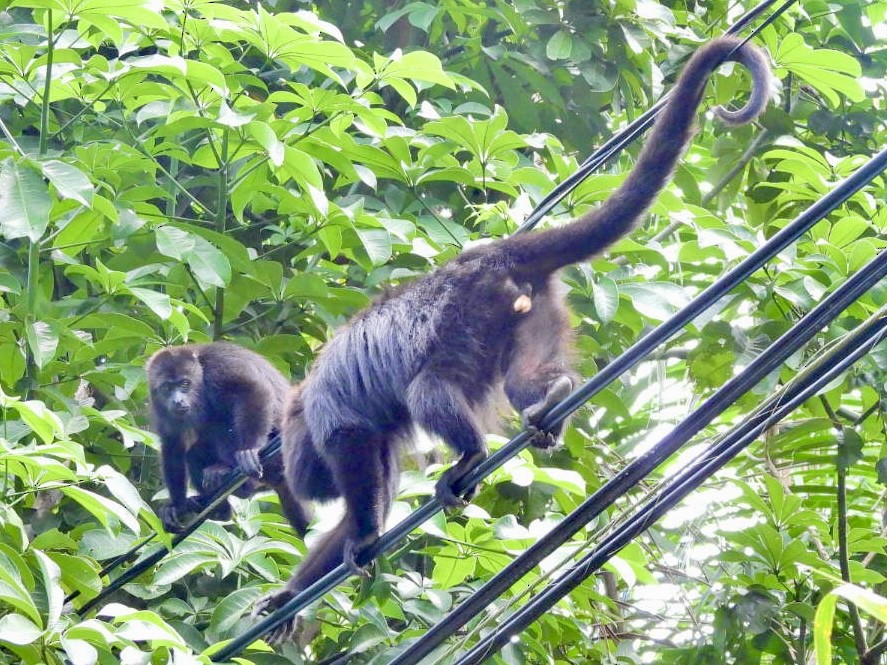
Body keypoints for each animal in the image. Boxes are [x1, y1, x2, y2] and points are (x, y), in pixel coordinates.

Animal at [145, 342, 312, 535]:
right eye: (167, 388)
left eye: (185, 384)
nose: (177, 401)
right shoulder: (157, 402)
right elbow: (172, 444)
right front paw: (176, 506)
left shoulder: (217, 366)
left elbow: (252, 389)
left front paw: (250, 449)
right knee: (193, 452)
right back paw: (218, 509)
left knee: (223, 421)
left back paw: (226, 471)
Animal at [253, 36, 771, 627]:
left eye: (296, 458)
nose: (301, 482)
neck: (302, 401)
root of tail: (491, 254)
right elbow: (377, 492)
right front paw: (290, 595)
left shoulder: (331, 413)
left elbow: (352, 448)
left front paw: (358, 539)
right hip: (532, 307)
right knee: (521, 379)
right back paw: (552, 398)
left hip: (466, 312)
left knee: (430, 387)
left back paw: (471, 456)